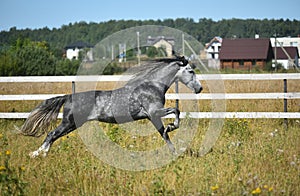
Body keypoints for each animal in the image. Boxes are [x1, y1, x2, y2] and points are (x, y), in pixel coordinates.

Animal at [19, 55, 203, 158]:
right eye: (191, 71)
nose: (200, 89)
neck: (152, 86)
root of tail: (68, 97)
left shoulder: (152, 116)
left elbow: (164, 134)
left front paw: (174, 152)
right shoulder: (153, 112)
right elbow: (174, 114)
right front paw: (172, 128)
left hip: (72, 125)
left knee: (53, 136)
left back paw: (41, 154)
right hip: (69, 122)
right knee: (51, 134)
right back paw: (36, 154)